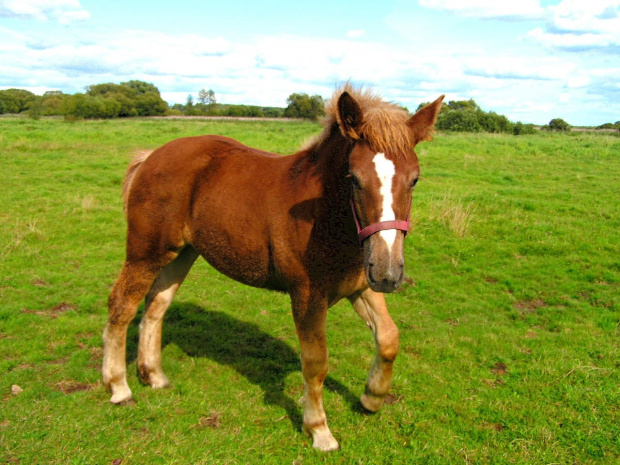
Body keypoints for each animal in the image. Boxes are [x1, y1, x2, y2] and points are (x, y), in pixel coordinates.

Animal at [101, 86, 444, 450]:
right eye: (354, 178)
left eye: (415, 180)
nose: (388, 272)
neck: (325, 216)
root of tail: (151, 156)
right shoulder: (307, 295)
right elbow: (315, 362)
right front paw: (319, 429)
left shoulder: (360, 286)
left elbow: (389, 338)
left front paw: (371, 398)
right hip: (146, 253)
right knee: (121, 306)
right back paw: (119, 387)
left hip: (181, 253)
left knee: (156, 305)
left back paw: (153, 375)